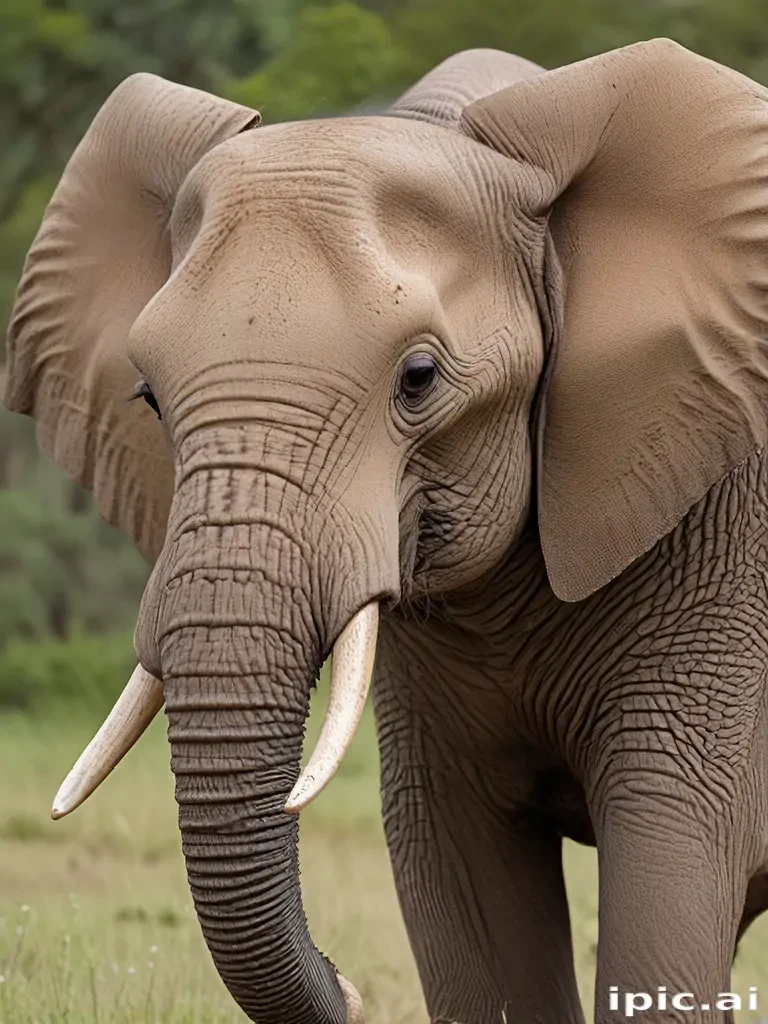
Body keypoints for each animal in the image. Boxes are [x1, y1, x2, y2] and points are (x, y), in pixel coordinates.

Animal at [6, 35, 768, 1024]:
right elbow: (460, 882)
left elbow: (666, 866)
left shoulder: (722, 563)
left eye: (418, 378)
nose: (350, 982)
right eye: (148, 398)